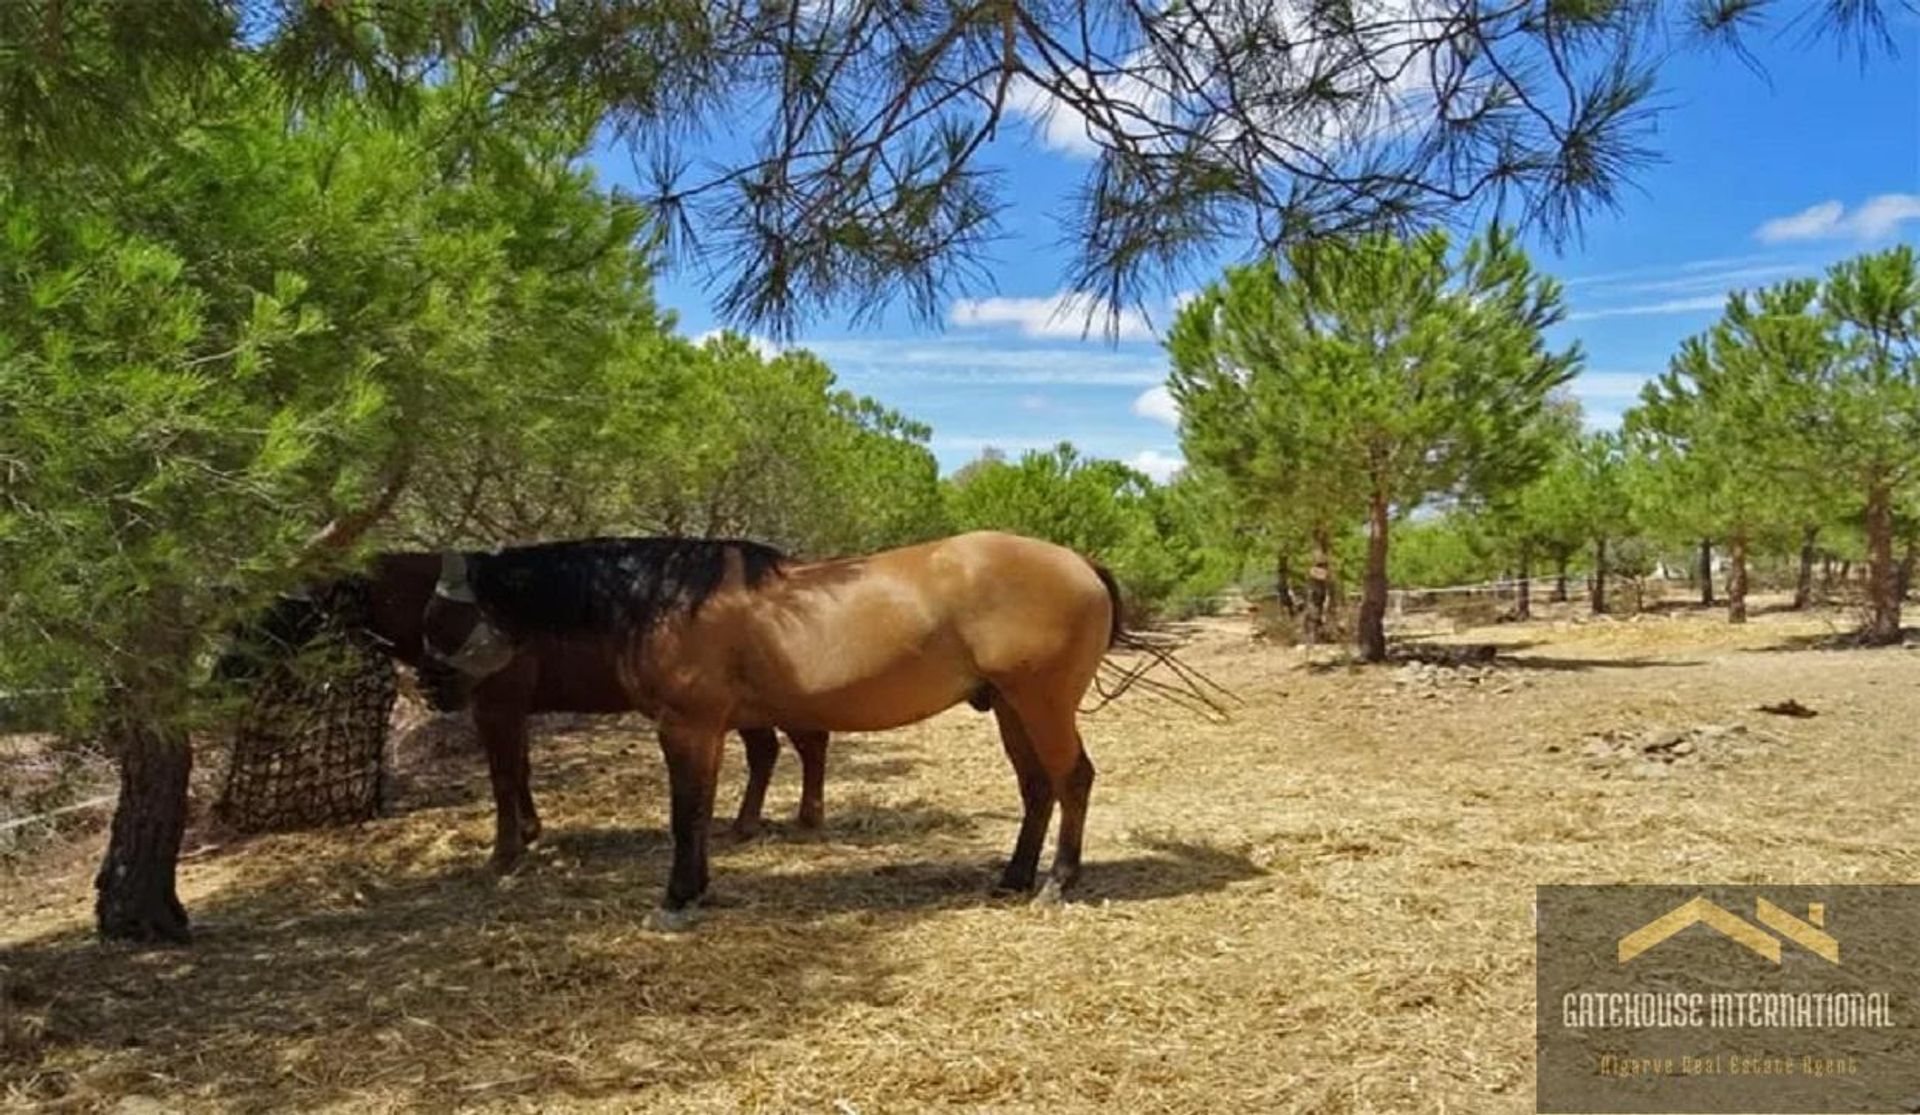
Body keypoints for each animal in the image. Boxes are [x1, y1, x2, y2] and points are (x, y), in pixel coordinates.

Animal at [222, 548, 825, 852]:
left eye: (284, 604)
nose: (224, 668)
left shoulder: (497, 706)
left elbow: (504, 775)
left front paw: (506, 851)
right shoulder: (508, 709)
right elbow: (521, 769)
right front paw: (531, 833)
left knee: (803, 740)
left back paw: (800, 816)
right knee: (772, 749)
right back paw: (751, 822)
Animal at [412, 529, 1121, 921]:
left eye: (440, 613)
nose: (430, 686)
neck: (667, 601)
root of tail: (1080, 563)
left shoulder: (687, 727)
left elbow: (685, 815)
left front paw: (676, 900)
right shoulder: (709, 731)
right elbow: (700, 814)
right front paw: (697, 891)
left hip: (1040, 704)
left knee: (1073, 781)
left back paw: (1056, 883)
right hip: (1010, 707)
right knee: (1038, 789)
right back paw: (1013, 879)